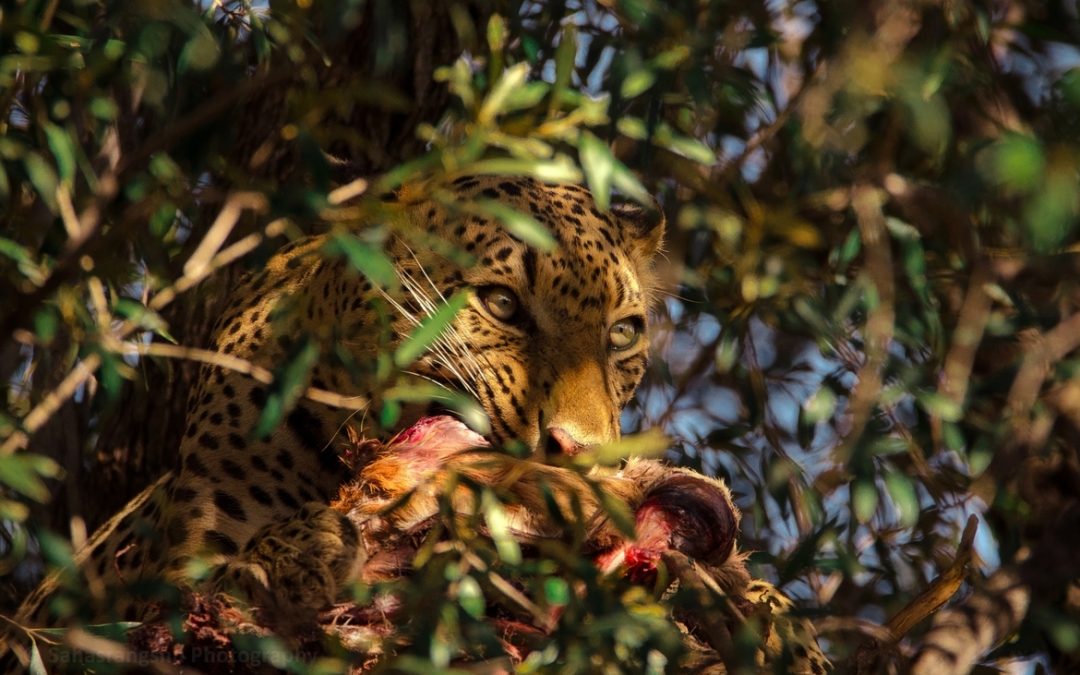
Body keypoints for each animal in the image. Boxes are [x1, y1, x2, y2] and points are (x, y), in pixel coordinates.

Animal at [5, 175, 828, 673]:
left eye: (622, 334)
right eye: (502, 306)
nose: (577, 451)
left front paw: (771, 621)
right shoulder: (162, 579)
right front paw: (301, 551)